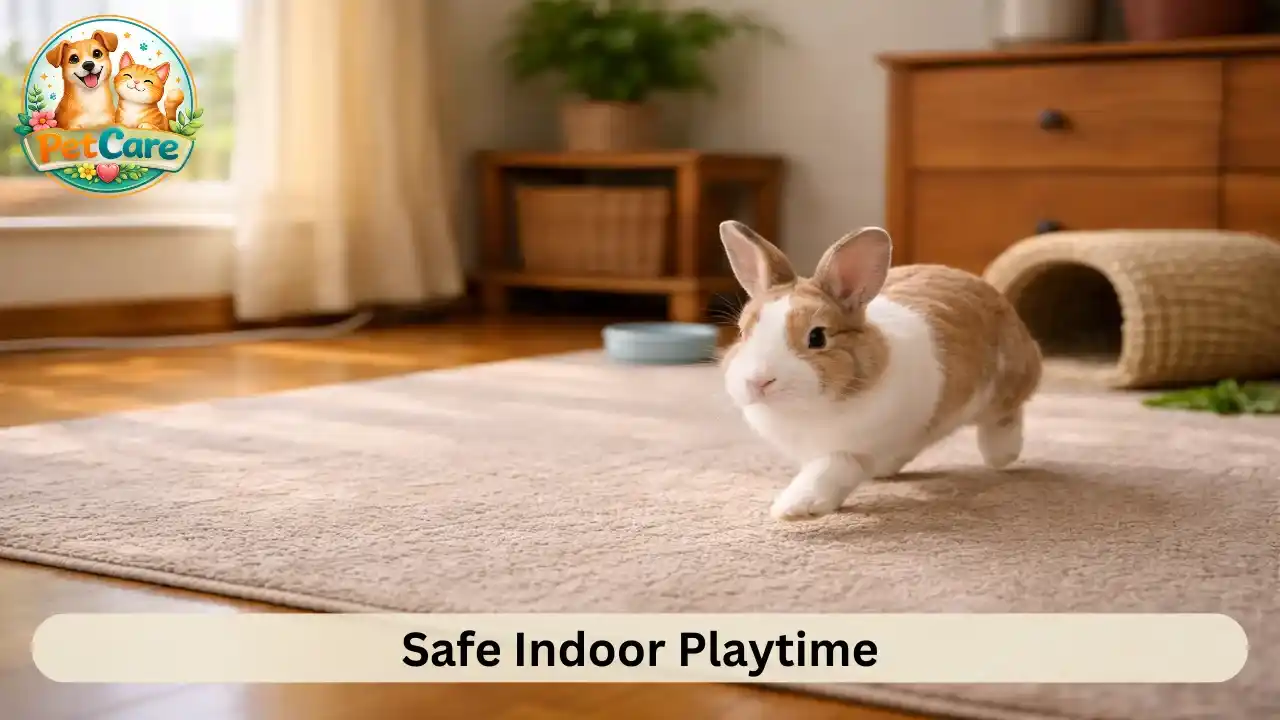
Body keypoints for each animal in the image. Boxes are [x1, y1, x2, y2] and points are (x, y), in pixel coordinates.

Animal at [717, 220, 1042, 521]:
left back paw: (1001, 454)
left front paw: (794, 508)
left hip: (1005, 383)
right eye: (743, 333)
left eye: (817, 337)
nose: (758, 381)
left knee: (1006, 414)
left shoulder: (853, 450)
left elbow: (830, 470)